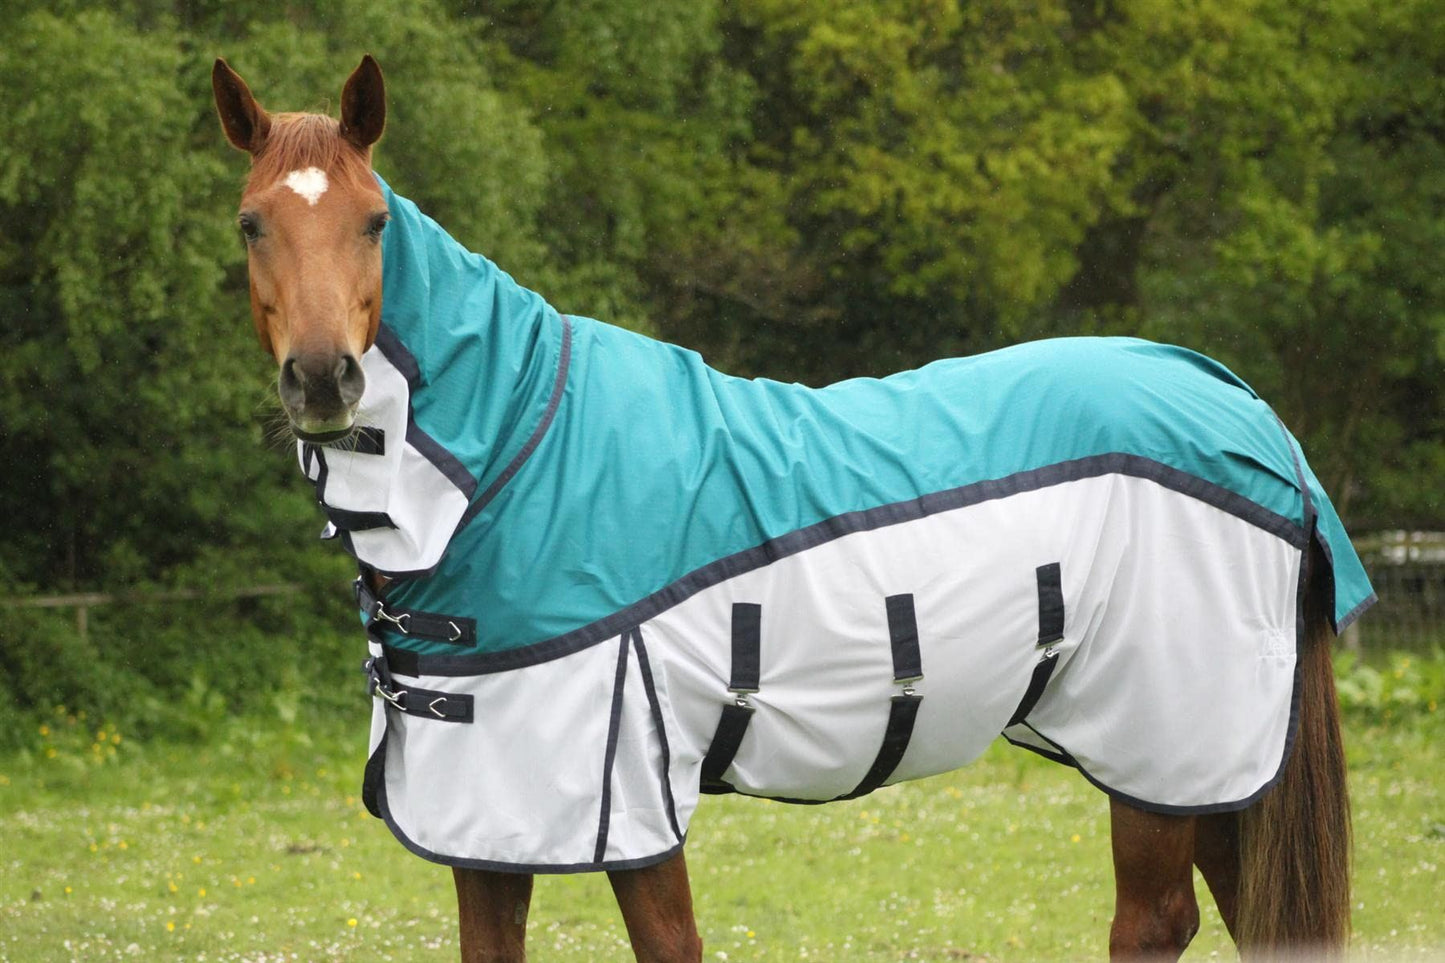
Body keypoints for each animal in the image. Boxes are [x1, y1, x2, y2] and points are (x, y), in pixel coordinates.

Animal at [212, 56, 1373, 962]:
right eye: (251, 223)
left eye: (373, 222)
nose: (323, 380)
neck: (510, 462)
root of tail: (1236, 401)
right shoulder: (488, 813)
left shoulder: (628, 791)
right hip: (1210, 760)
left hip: (1163, 738)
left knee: (1154, 921)